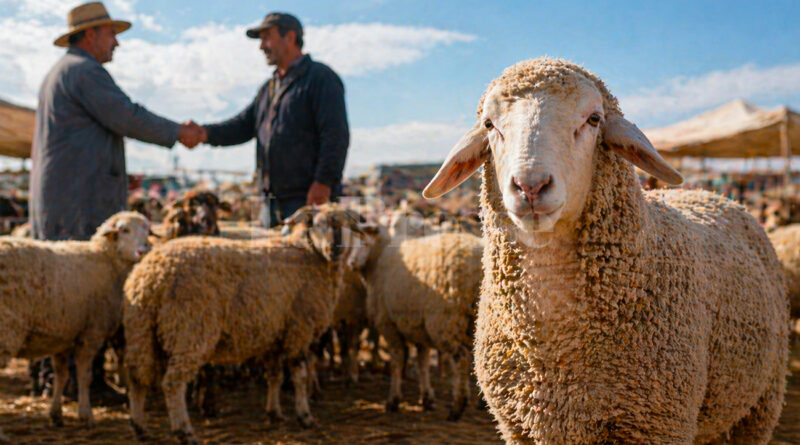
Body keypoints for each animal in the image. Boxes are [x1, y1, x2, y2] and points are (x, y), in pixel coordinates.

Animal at [0, 212, 151, 428]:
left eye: (147, 229)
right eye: (124, 230)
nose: (143, 250)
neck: (106, 260)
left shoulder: (61, 335)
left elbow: (61, 376)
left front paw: (56, 414)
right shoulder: (91, 333)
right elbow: (84, 376)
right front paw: (86, 414)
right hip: (7, 328)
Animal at [123, 203, 371, 444]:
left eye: (346, 226)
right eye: (317, 224)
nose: (334, 250)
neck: (310, 255)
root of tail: (151, 277)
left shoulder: (275, 333)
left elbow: (274, 375)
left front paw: (274, 413)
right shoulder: (299, 328)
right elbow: (299, 376)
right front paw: (305, 416)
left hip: (141, 330)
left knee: (136, 378)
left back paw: (140, 427)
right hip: (189, 329)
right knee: (172, 383)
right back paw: (184, 431)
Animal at [362, 225, 483, 421]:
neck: (378, 258)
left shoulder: (387, 324)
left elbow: (397, 361)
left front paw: (393, 401)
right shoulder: (418, 329)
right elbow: (423, 363)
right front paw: (426, 398)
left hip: (445, 319)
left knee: (461, 358)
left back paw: (457, 407)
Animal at [422, 58, 789, 444]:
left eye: (594, 119)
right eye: (490, 125)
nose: (530, 186)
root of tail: (715, 195)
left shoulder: (657, 424)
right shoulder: (518, 427)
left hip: (760, 404)